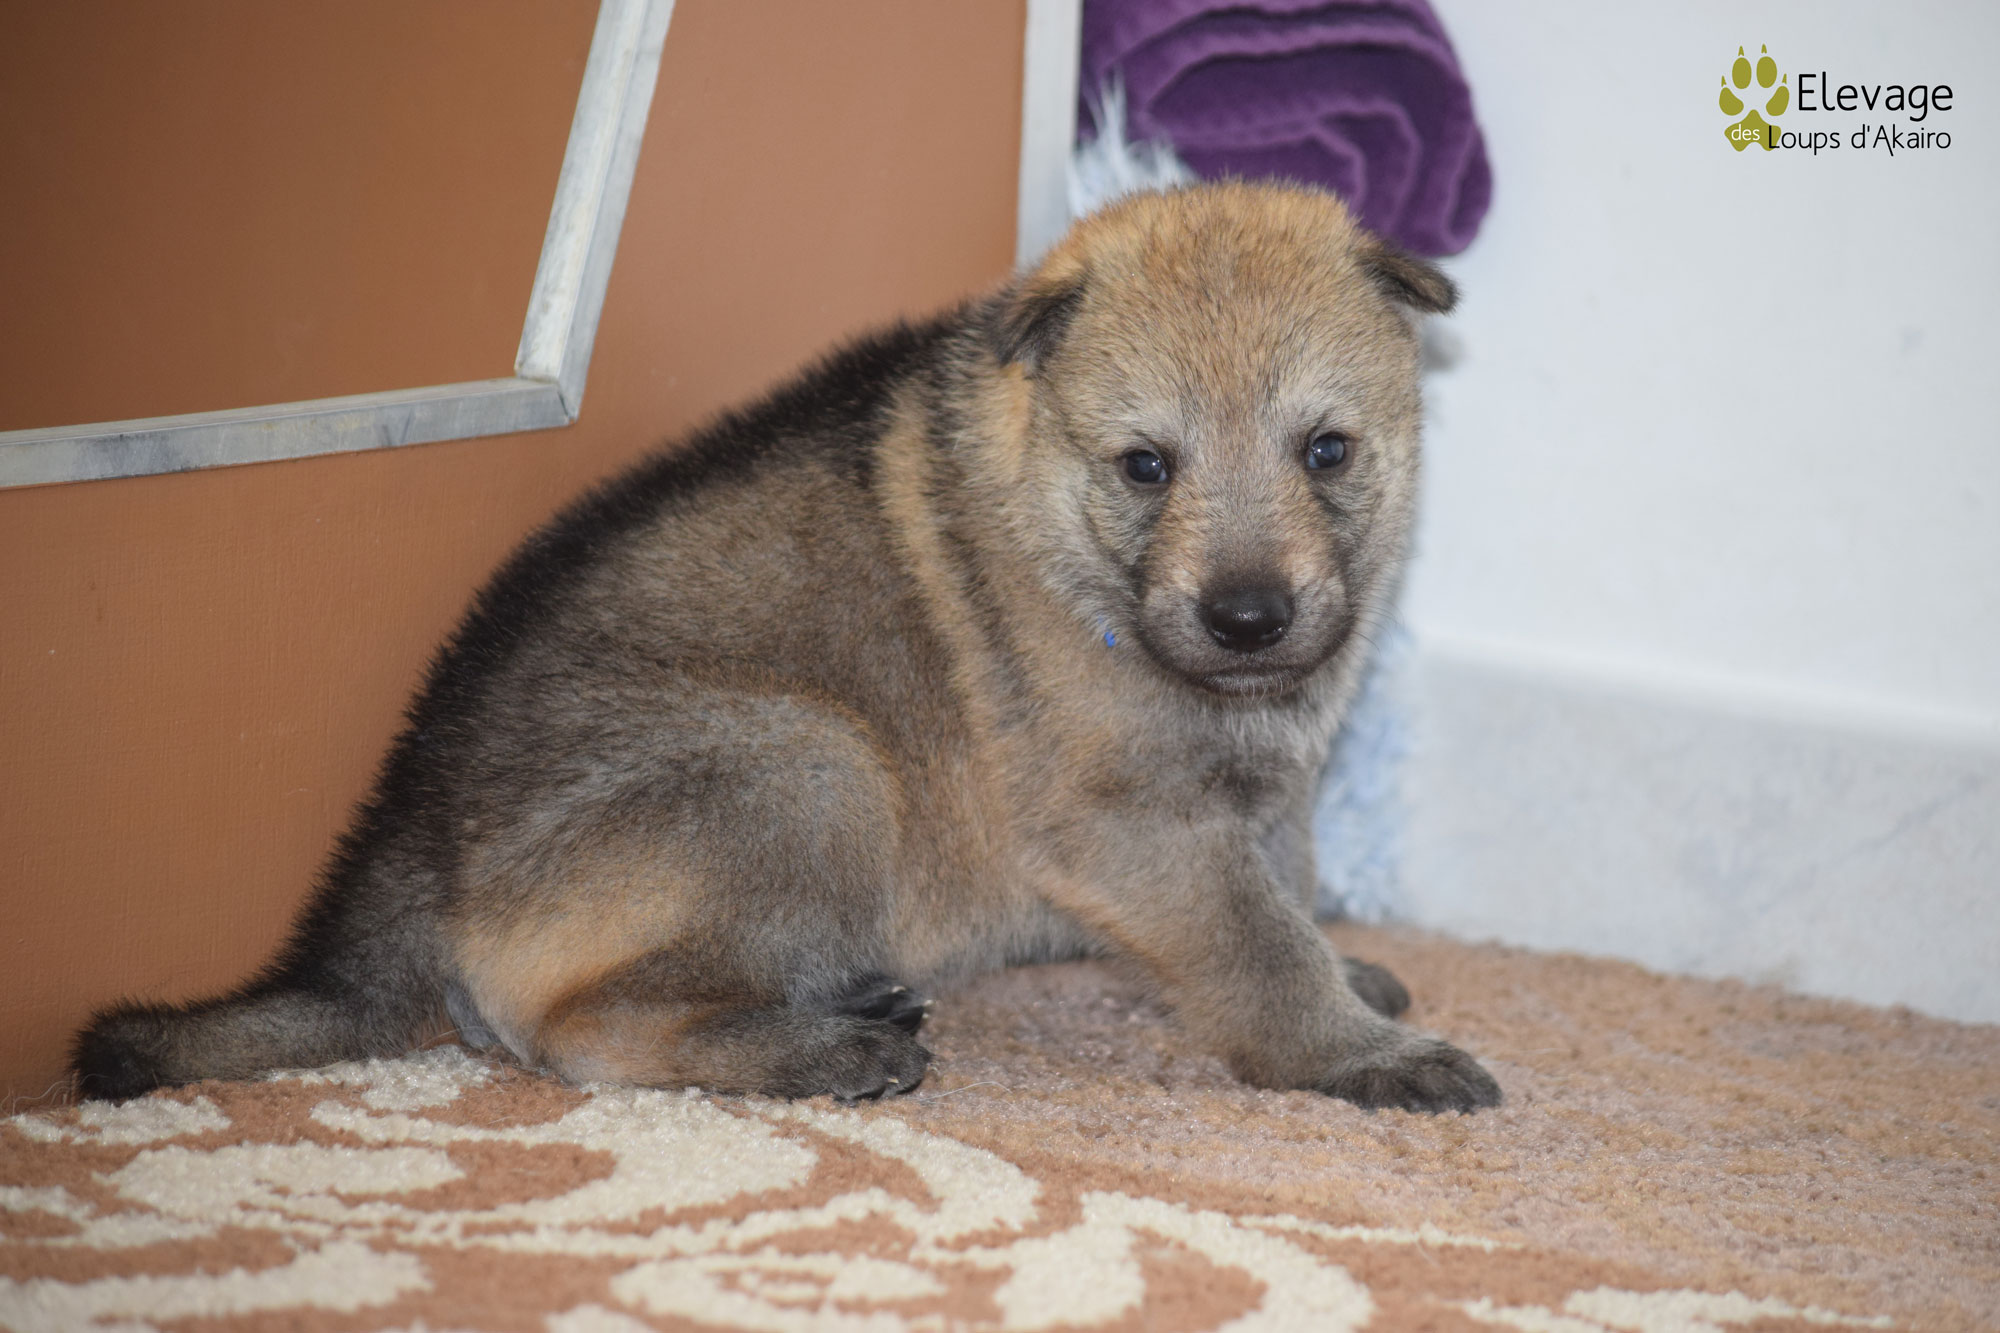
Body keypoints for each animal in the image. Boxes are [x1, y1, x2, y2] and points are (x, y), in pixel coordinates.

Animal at [74, 182, 1500, 1114]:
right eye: (1145, 466)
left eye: (1327, 450)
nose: (1248, 618)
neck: (1059, 526)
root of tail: (416, 835)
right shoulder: (1134, 823)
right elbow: (1255, 943)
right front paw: (1348, 1050)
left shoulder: (1261, 793)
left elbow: (1284, 886)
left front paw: (1348, 982)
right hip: (810, 766)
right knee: (569, 1025)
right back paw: (816, 1050)